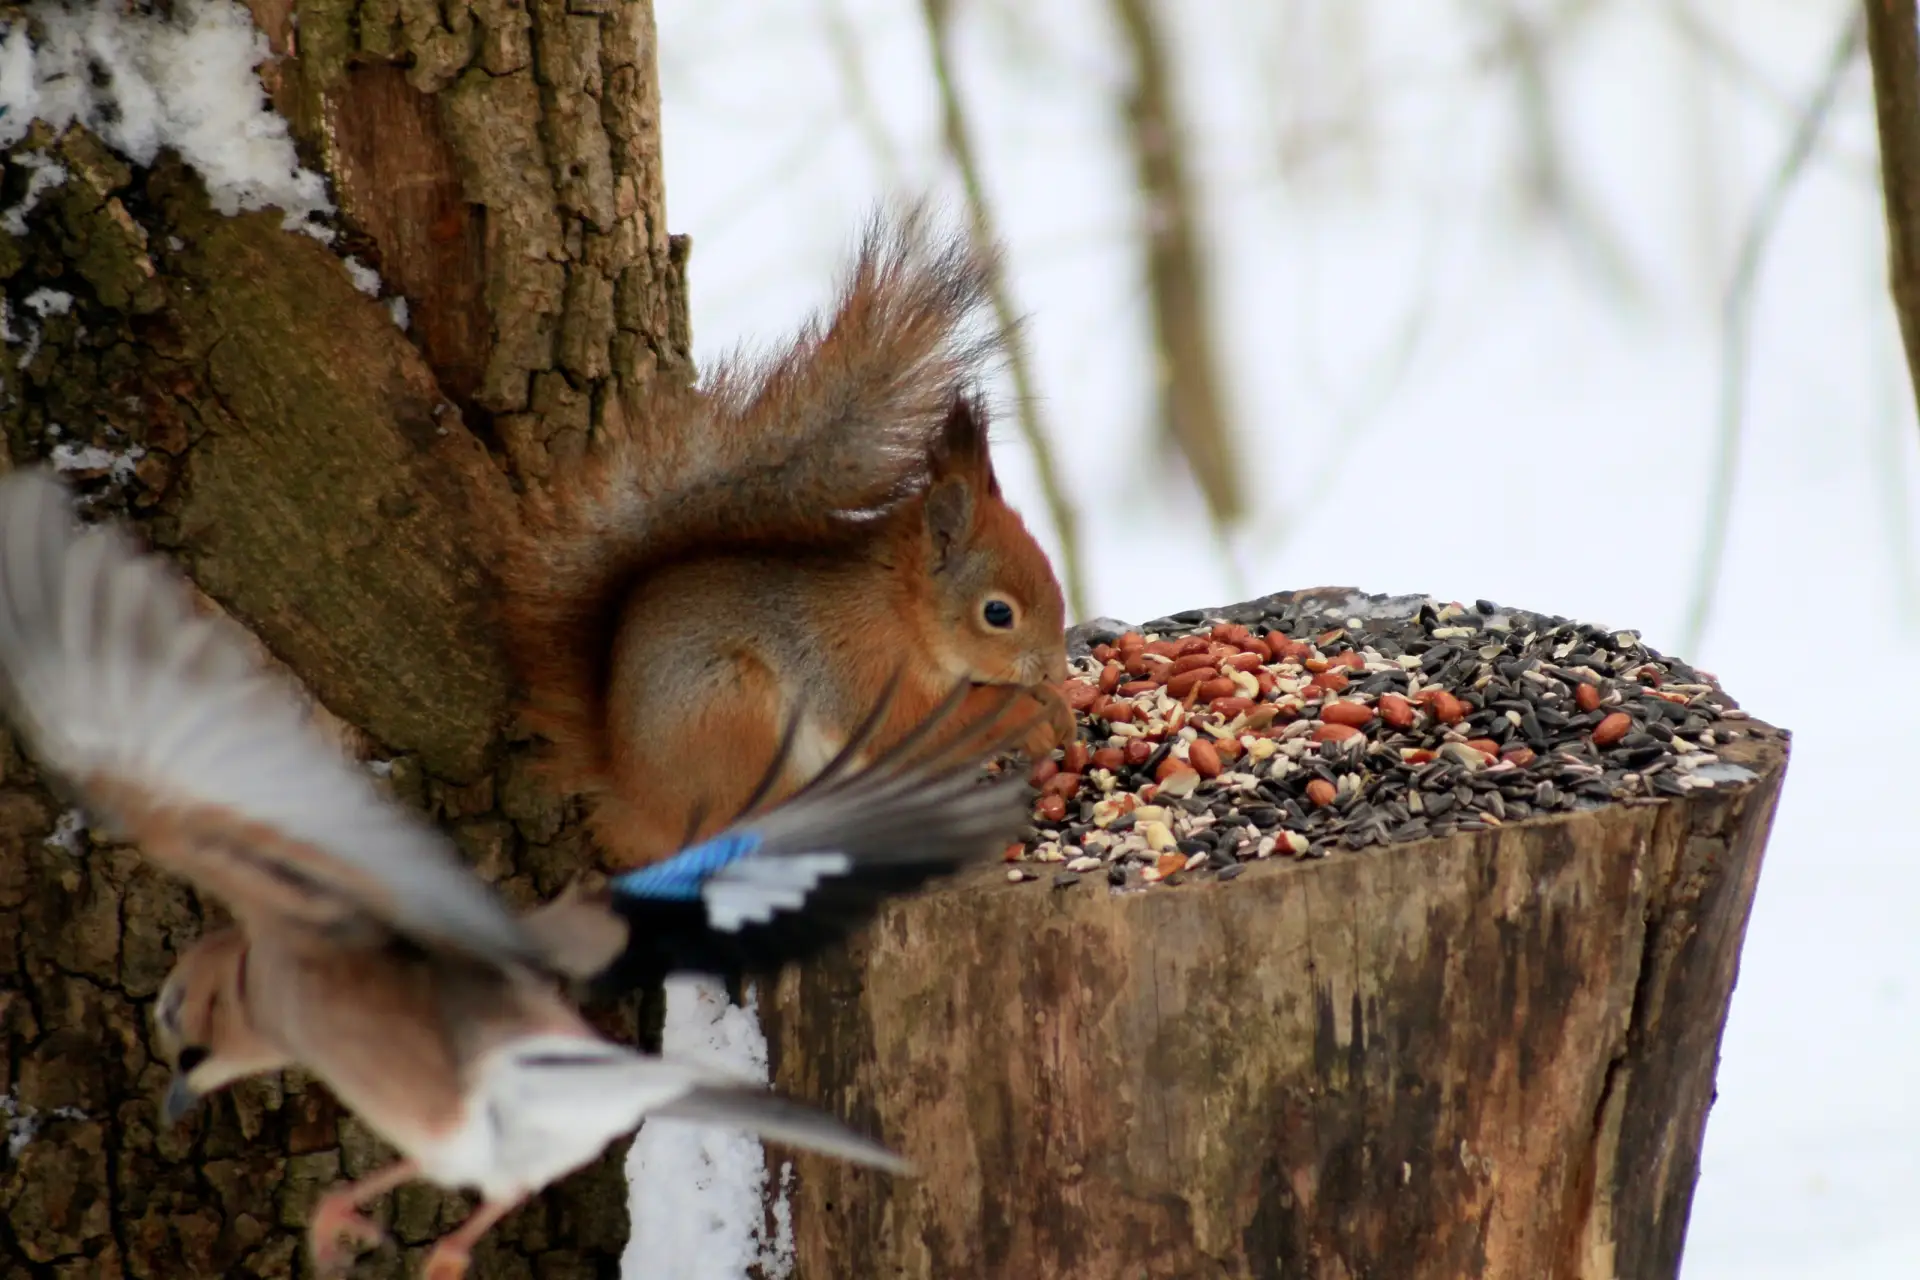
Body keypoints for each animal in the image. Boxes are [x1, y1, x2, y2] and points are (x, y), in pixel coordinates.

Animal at [498, 213, 1072, 869]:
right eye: (998, 613)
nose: (1056, 669)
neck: (902, 612)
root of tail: (635, 805)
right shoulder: (865, 671)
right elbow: (923, 727)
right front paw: (1028, 714)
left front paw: (1059, 708)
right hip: (735, 717)